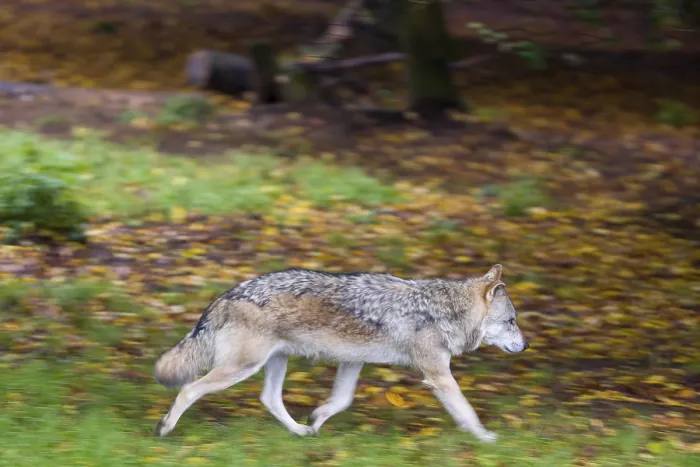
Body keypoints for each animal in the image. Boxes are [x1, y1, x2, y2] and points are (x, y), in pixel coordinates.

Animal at [153, 264, 528, 443]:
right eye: (511, 322)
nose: (526, 346)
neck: (443, 310)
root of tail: (228, 293)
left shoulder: (353, 361)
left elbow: (341, 401)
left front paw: (317, 419)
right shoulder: (438, 376)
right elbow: (467, 413)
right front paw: (486, 438)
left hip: (273, 363)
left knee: (269, 399)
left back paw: (300, 432)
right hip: (242, 368)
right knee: (189, 389)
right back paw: (164, 428)